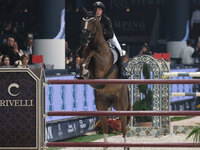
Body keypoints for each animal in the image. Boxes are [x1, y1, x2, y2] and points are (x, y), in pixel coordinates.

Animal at [79, 8, 131, 149]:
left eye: (92, 22)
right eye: (83, 20)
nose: (84, 35)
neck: (95, 43)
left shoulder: (102, 63)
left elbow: (93, 54)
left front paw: (86, 68)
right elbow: (83, 59)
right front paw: (84, 71)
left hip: (121, 107)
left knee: (124, 129)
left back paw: (126, 145)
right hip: (101, 106)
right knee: (106, 129)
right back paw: (105, 145)